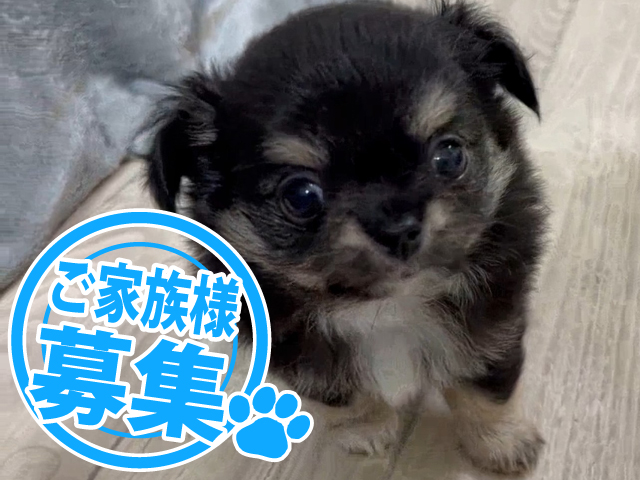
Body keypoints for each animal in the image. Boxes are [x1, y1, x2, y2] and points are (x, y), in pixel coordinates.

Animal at [144, 1, 548, 475]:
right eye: (301, 196)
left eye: (449, 156)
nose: (398, 228)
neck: (389, 306)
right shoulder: (300, 354)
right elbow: (347, 394)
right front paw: (367, 431)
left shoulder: (492, 322)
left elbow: (482, 382)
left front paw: (500, 443)